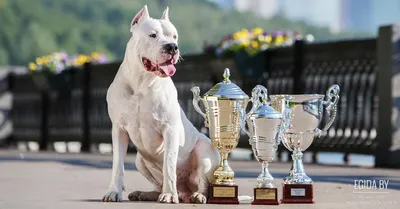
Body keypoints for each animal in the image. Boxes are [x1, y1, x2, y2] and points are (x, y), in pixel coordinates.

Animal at [101, 5, 219, 204]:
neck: (141, 81)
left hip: (205, 150)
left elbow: (168, 164)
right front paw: (114, 192)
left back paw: (196, 195)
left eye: (174, 36)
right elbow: (117, 164)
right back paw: (144, 194)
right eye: (152, 35)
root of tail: (185, 191)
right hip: (139, 160)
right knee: (158, 185)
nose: (172, 47)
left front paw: (169, 195)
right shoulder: (118, 129)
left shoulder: (169, 129)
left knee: (204, 184)